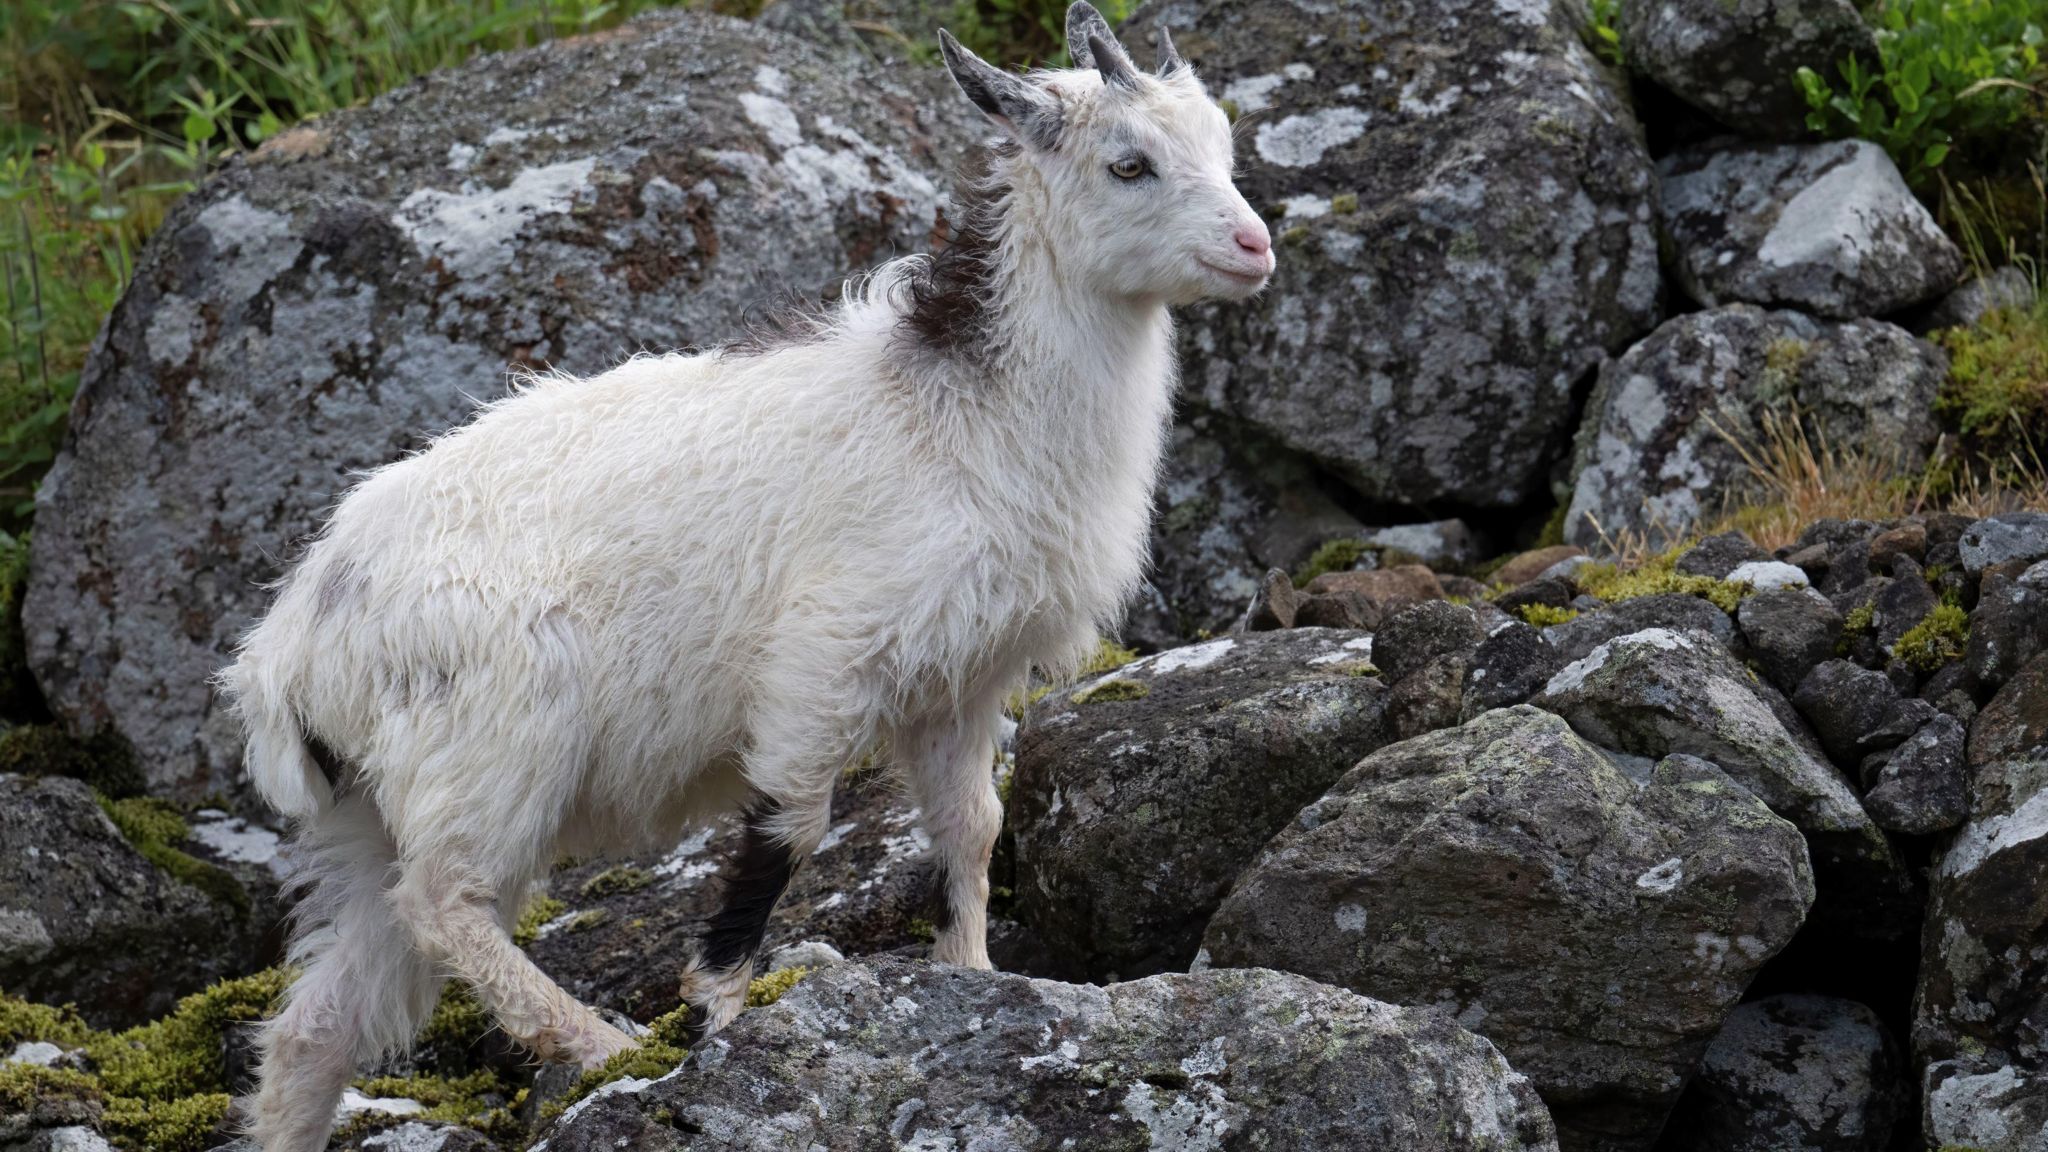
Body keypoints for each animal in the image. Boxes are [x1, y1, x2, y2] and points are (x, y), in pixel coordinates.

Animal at [228, 8, 1261, 1147]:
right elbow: (786, 828)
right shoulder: (823, 657)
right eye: (1127, 163)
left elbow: (971, 829)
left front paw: (973, 976)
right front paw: (712, 1013)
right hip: (491, 746)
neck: (959, 413)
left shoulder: (962, 677)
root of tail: (288, 649)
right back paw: (600, 1045)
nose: (1254, 247)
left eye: (1220, 140)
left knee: (317, 1025)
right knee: (444, 906)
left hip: (369, 812)